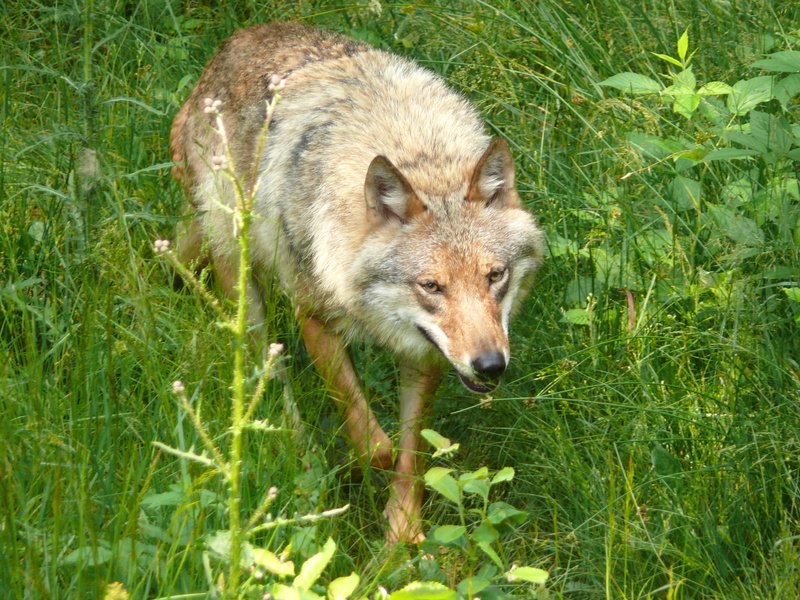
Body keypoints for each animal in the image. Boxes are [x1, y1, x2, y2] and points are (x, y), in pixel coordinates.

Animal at [170, 22, 544, 543]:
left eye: (495, 275)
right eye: (432, 286)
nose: (490, 366)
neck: (415, 152)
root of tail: (232, 45)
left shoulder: (423, 351)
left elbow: (413, 452)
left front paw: (403, 535)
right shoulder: (315, 320)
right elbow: (375, 443)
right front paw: (357, 472)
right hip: (247, 295)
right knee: (272, 380)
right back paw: (303, 457)